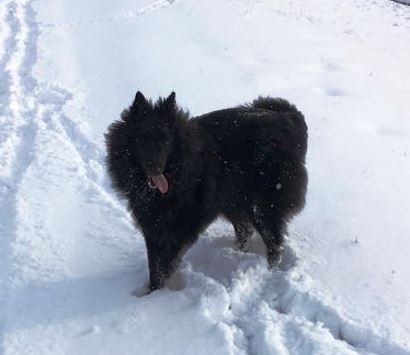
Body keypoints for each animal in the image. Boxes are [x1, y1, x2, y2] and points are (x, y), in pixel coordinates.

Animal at [105, 92, 308, 292]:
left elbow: (165, 267)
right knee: (245, 231)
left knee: (274, 244)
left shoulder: (180, 229)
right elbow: (154, 266)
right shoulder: (152, 227)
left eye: (165, 140)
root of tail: (289, 117)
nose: (155, 168)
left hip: (261, 206)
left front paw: (157, 296)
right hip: (234, 202)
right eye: (142, 140)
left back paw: (268, 272)